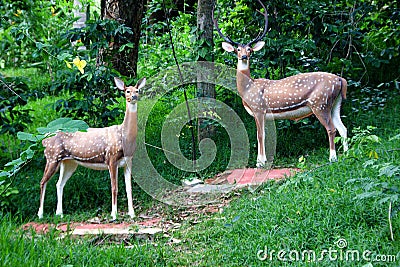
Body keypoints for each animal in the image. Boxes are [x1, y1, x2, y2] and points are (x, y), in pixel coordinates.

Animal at [37, 76, 146, 219]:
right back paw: (40, 214)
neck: (124, 136)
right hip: (52, 157)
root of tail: (44, 139)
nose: (134, 96)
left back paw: (59, 213)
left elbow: (129, 188)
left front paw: (132, 214)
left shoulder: (128, 161)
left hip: (68, 162)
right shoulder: (111, 158)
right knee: (43, 182)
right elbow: (114, 187)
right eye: (127, 91)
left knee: (59, 183)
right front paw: (114, 214)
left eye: (137, 90)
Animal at [212, 0, 346, 168]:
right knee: (343, 128)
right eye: (237, 49)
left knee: (331, 129)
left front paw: (260, 162)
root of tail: (341, 80)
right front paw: (263, 160)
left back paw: (332, 158)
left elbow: (259, 135)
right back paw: (347, 153)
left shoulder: (258, 108)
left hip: (320, 103)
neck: (247, 89)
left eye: (249, 49)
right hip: (335, 103)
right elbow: (263, 135)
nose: (243, 56)